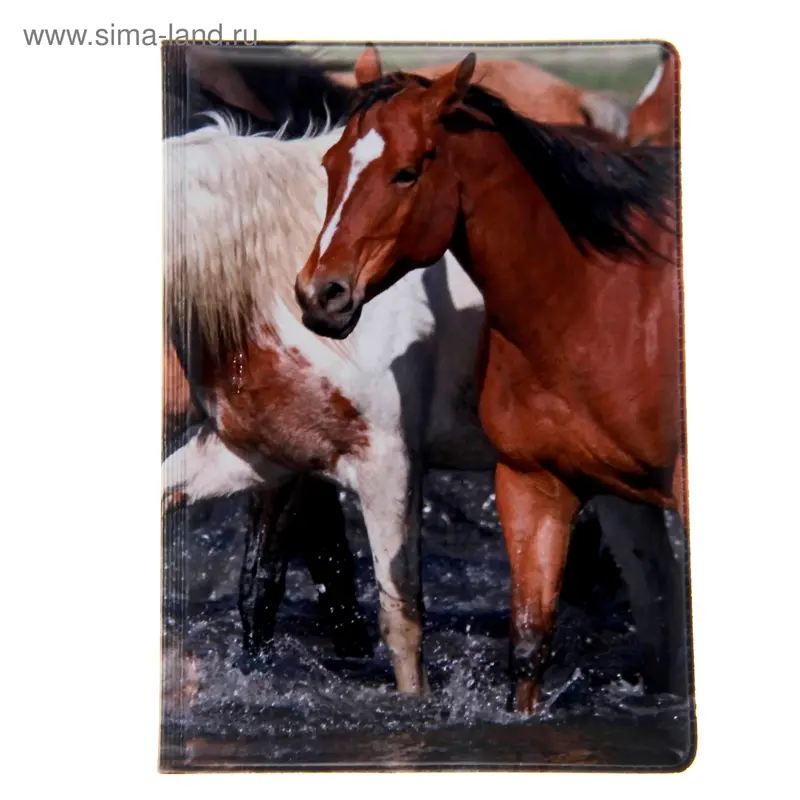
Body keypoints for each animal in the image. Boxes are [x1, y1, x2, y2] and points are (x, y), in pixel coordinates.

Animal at [294, 48, 687, 713]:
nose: (321, 294)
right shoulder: (534, 483)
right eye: (330, 164)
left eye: (406, 173)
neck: (591, 308)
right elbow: (528, 643)